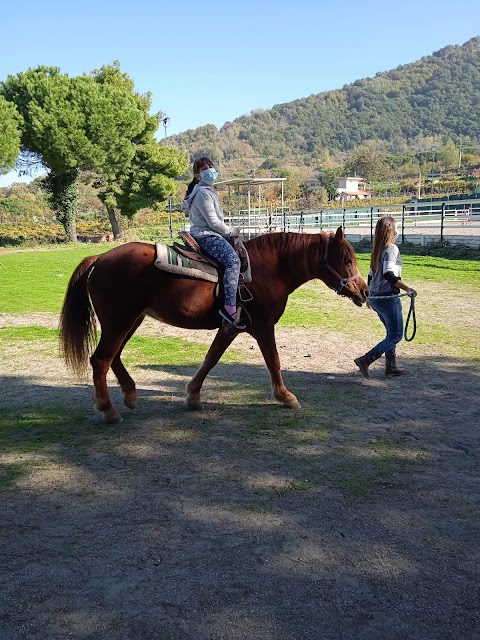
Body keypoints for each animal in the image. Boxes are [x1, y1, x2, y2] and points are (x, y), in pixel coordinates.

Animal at [60, 228, 368, 422]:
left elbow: (211, 358)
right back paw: (108, 410)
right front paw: (285, 397)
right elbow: (274, 361)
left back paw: (130, 395)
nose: (364, 292)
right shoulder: (263, 326)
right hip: (119, 322)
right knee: (101, 360)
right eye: (346, 260)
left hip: (130, 321)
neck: (267, 270)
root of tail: (100, 257)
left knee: (113, 357)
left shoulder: (230, 327)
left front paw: (193, 396)